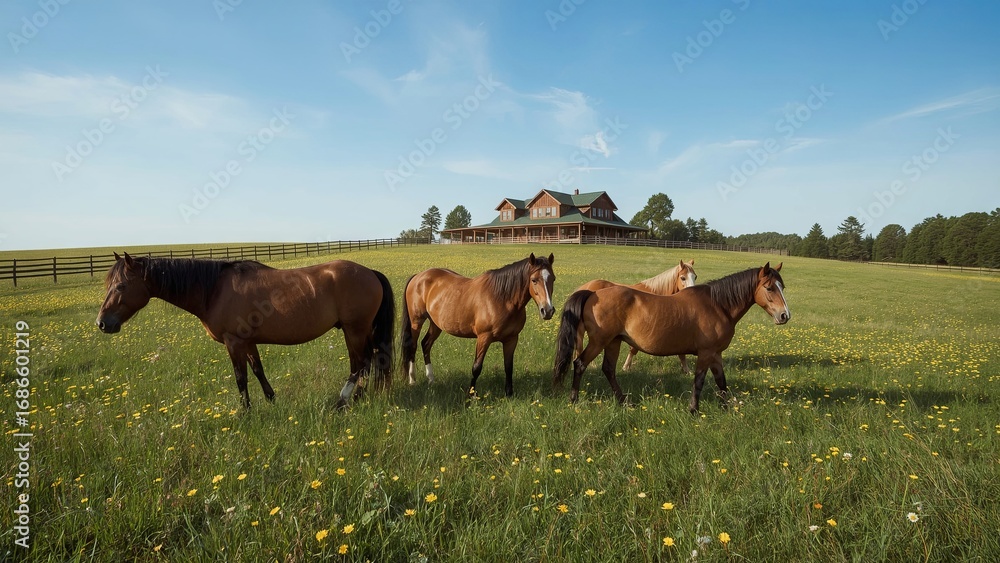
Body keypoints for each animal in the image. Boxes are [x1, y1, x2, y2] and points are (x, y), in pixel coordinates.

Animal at [96, 252, 394, 410]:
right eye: (108, 284)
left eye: (121, 286)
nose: (102, 323)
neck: (214, 289)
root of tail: (369, 272)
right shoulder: (248, 342)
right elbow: (258, 370)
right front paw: (271, 400)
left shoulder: (234, 342)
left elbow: (241, 378)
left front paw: (246, 411)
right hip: (358, 330)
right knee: (368, 362)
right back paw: (359, 396)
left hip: (354, 330)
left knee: (361, 363)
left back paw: (344, 401)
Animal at [400, 253, 556, 398]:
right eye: (534, 280)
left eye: (553, 278)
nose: (548, 310)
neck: (501, 299)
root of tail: (418, 276)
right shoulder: (483, 338)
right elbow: (476, 367)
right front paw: (471, 395)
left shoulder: (511, 339)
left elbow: (508, 367)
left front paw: (509, 393)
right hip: (416, 321)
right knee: (413, 345)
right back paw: (412, 380)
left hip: (436, 324)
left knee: (426, 344)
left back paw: (431, 379)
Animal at [553, 262, 788, 412]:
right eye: (769, 288)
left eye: (782, 287)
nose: (785, 315)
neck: (717, 305)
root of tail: (592, 293)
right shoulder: (706, 353)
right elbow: (699, 381)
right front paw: (694, 410)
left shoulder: (716, 354)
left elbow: (721, 381)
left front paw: (726, 408)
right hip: (599, 342)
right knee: (579, 364)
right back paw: (574, 399)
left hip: (613, 342)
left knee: (608, 370)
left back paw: (623, 402)